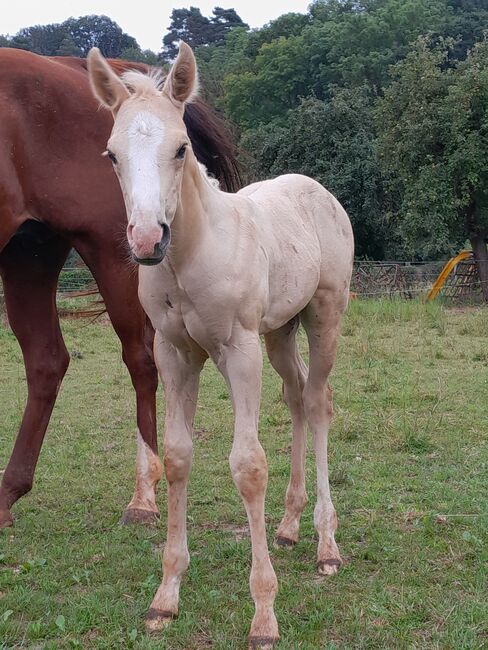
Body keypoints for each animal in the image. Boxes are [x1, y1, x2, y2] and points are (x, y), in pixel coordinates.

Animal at [0, 49, 238, 528]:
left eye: (181, 149)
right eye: (112, 155)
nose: (147, 238)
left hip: (107, 252)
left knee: (140, 360)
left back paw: (143, 496)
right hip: (30, 255)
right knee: (47, 360)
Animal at [88, 43, 354, 644]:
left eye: (181, 147)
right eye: (112, 155)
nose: (147, 240)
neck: (192, 254)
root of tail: (317, 190)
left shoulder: (238, 350)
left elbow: (248, 465)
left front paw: (264, 616)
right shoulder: (175, 354)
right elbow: (178, 456)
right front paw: (166, 596)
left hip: (323, 315)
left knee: (320, 402)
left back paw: (327, 545)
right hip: (279, 331)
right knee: (297, 397)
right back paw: (288, 525)